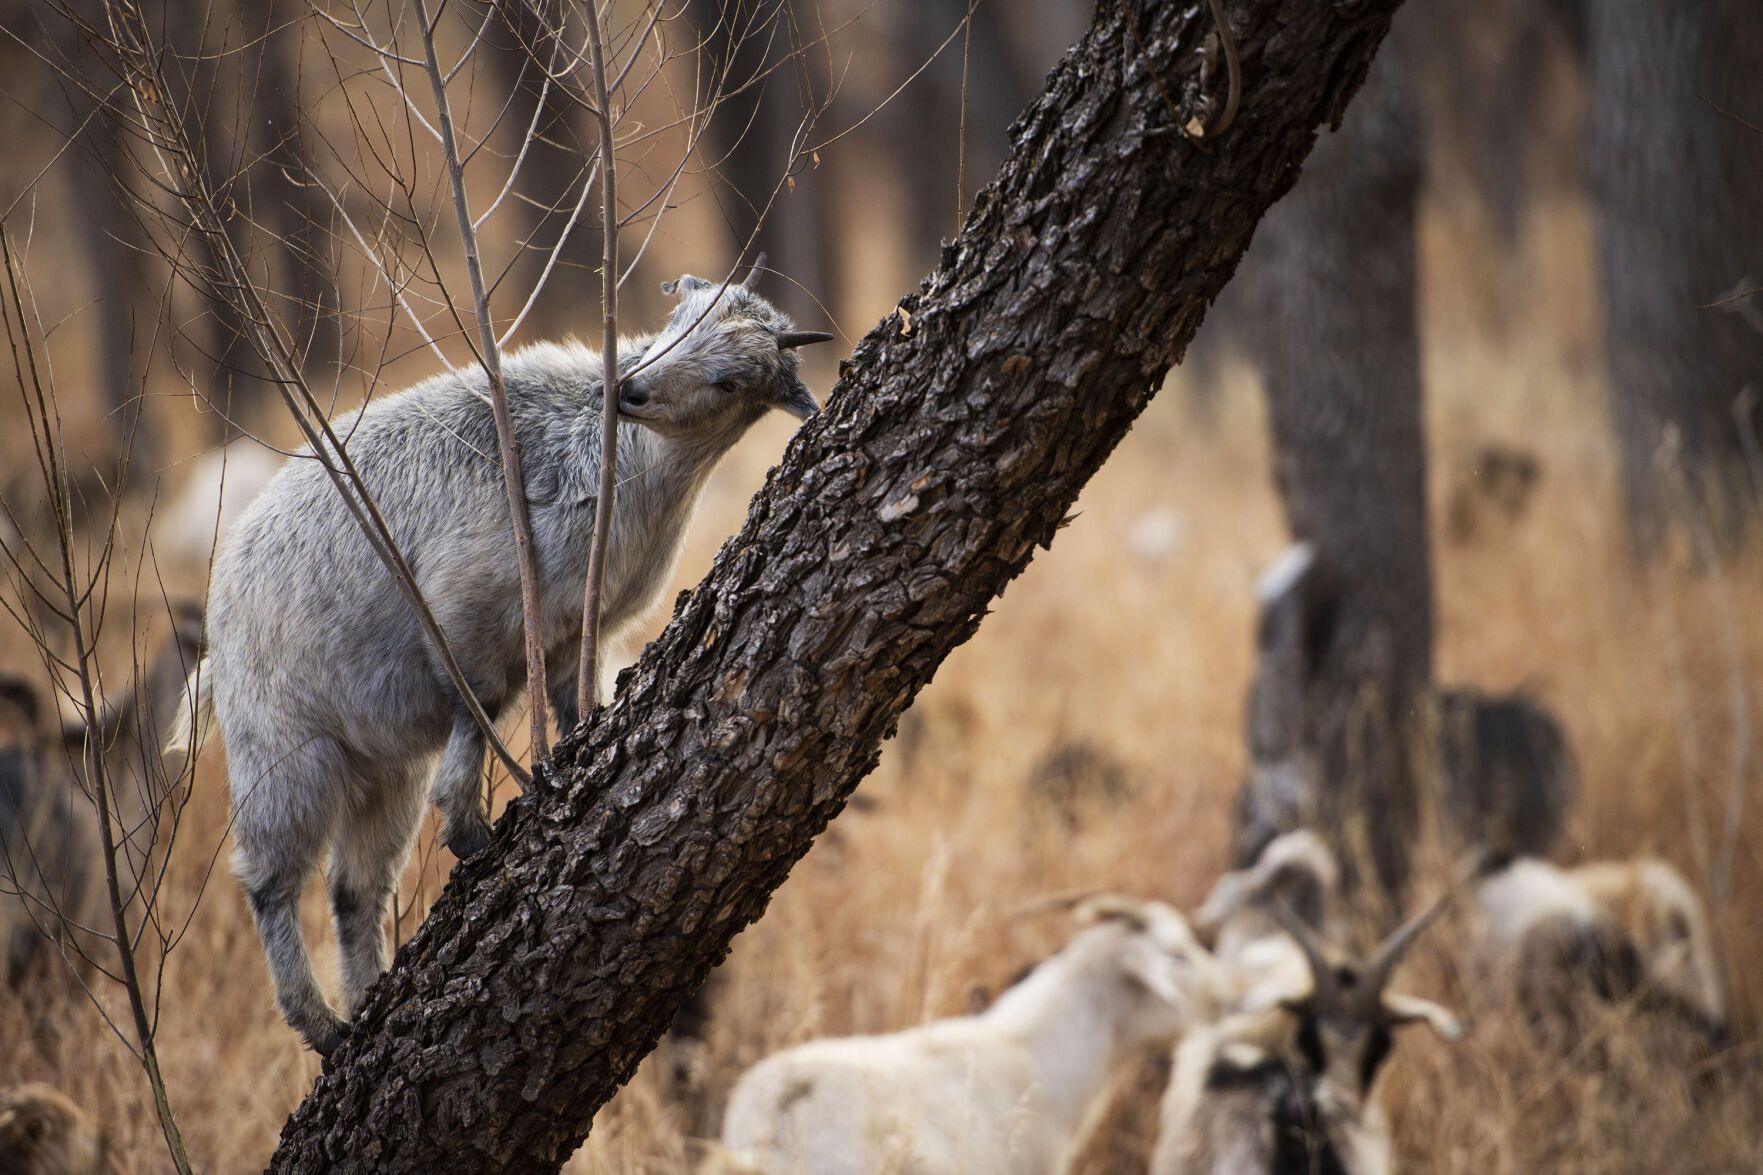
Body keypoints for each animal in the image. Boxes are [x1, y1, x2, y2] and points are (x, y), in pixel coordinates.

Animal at [175, 273, 833, 1054]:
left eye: (729, 379)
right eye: (677, 325)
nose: (632, 391)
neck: (619, 462)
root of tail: (217, 636)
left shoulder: (575, 635)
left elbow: (572, 703)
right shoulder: (470, 613)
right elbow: (479, 705)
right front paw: (468, 825)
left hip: (380, 770)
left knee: (354, 888)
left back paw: (363, 999)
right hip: (285, 752)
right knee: (270, 881)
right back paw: (320, 1022)